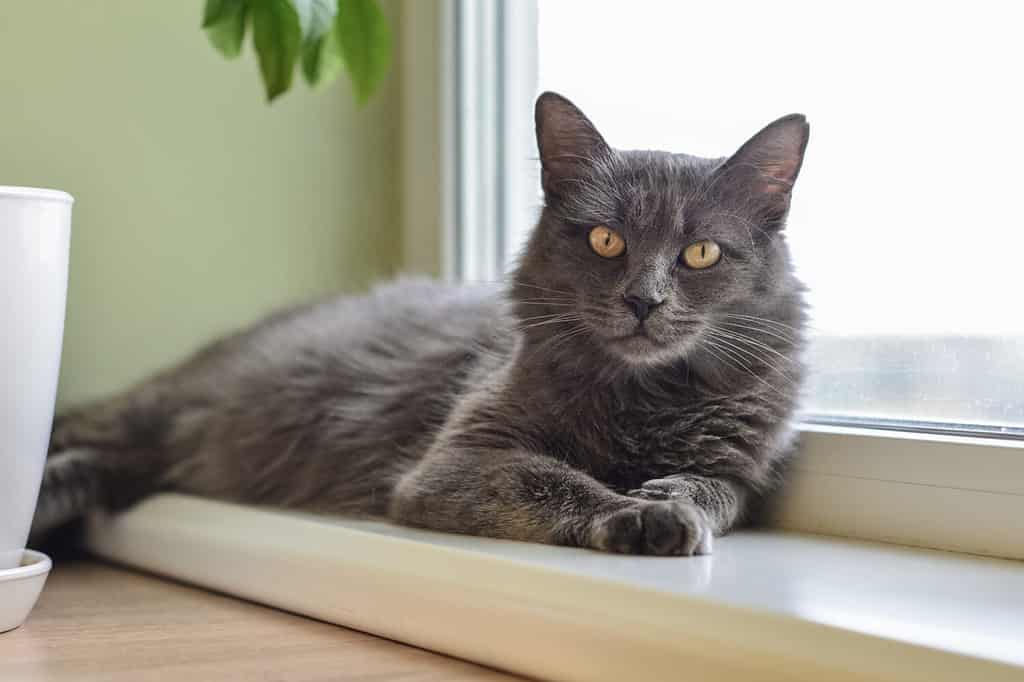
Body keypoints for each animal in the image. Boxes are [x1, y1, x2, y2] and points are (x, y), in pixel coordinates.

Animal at [36, 93, 811, 557]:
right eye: (606, 241)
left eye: (701, 253)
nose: (644, 301)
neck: (642, 401)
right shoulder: (455, 462)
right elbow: (557, 481)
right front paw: (636, 513)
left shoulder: (739, 468)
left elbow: (714, 491)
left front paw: (670, 501)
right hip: (149, 413)